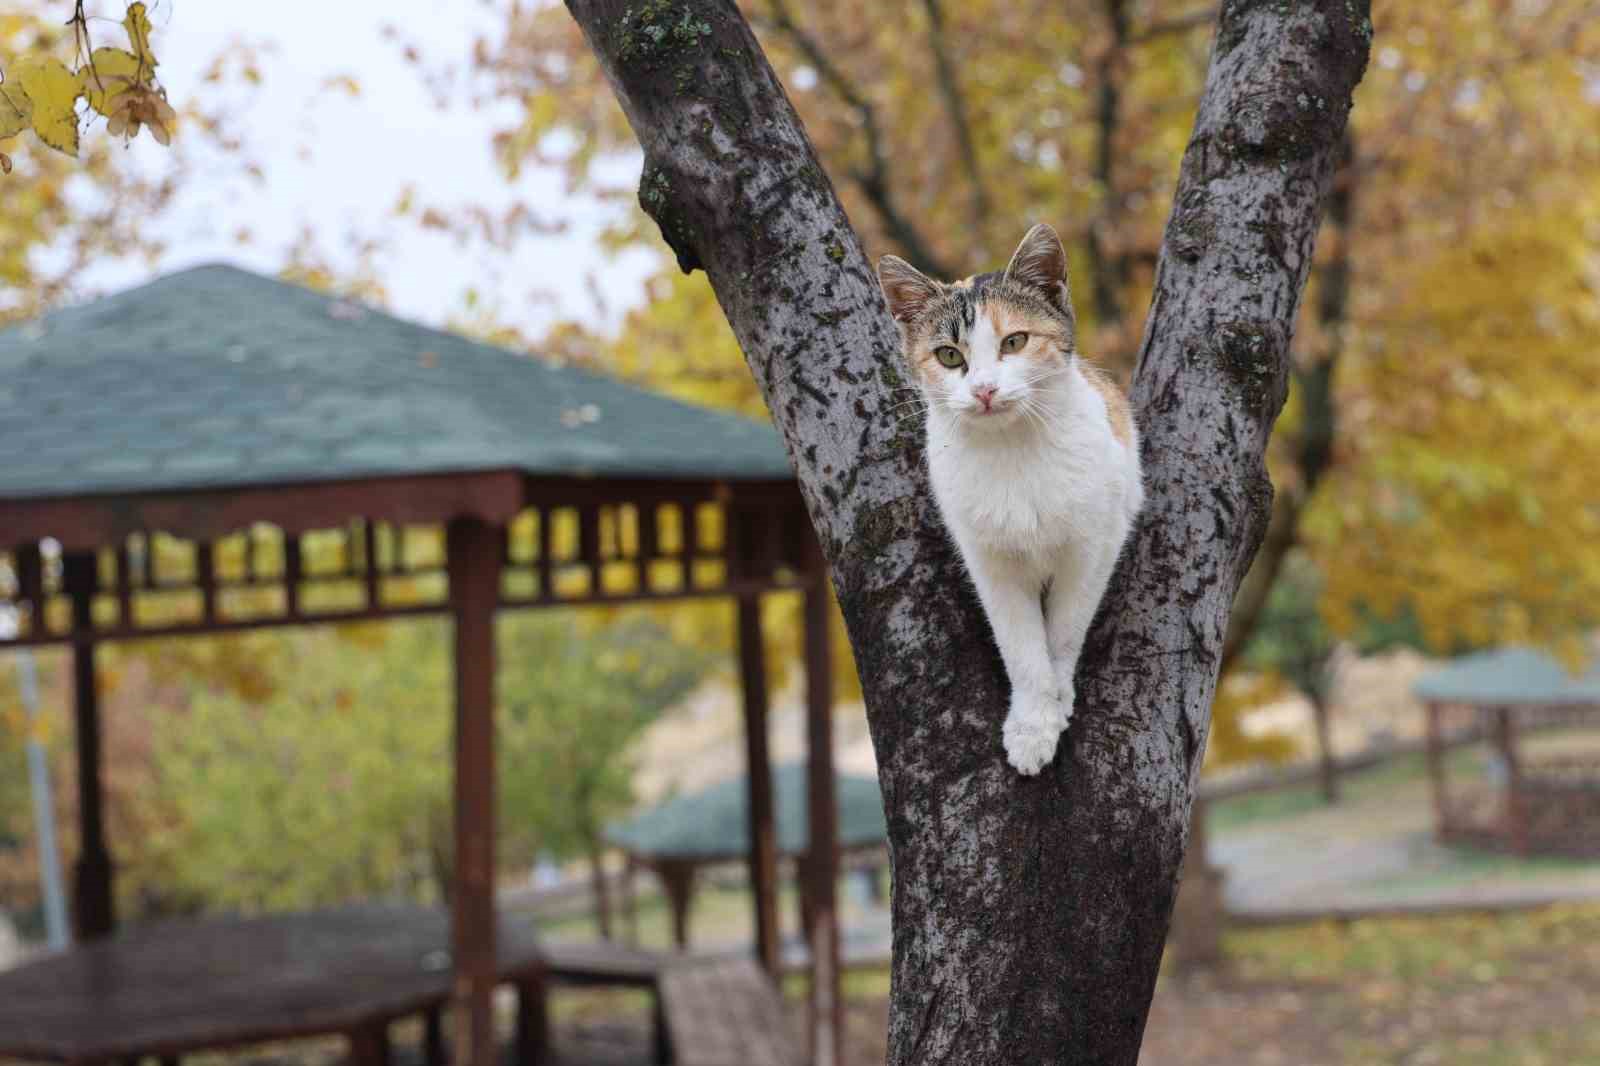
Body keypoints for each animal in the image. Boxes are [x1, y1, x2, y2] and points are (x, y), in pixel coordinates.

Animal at [876, 224, 1152, 771]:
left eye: (1015, 341)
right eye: (949, 355)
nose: (984, 389)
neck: (1013, 450)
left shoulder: (1093, 546)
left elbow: (1064, 628)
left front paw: (1055, 702)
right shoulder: (989, 562)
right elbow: (1021, 644)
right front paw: (1032, 724)